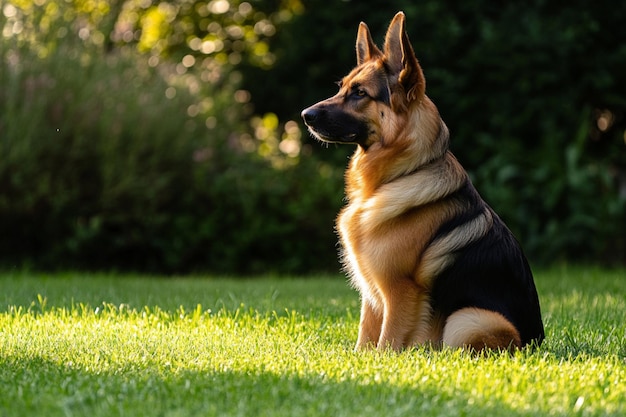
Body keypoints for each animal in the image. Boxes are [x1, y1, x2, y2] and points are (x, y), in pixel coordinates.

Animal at [302, 12, 540, 352]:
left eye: (360, 93)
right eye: (342, 88)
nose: (304, 115)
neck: (403, 173)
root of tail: (537, 342)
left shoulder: (399, 291)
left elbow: (386, 341)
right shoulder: (372, 296)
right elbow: (365, 336)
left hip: (467, 319)